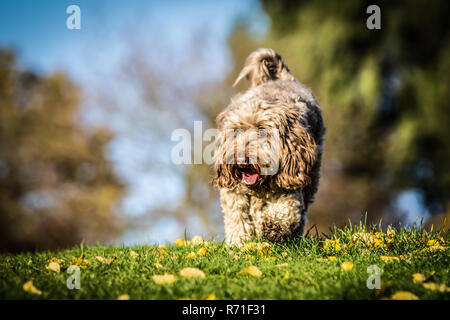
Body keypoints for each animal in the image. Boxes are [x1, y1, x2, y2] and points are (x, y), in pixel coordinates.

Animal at [214, 48, 324, 246]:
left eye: (262, 130)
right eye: (236, 130)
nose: (241, 161)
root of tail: (285, 79)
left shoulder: (290, 177)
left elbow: (286, 207)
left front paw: (273, 226)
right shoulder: (234, 191)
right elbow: (237, 217)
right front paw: (239, 243)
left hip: (312, 173)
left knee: (302, 209)